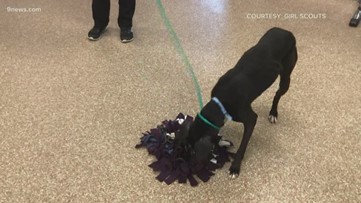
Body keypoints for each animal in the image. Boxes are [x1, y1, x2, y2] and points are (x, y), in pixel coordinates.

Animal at [184, 27, 296, 179]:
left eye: (194, 151)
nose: (189, 168)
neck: (220, 103)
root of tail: (287, 32)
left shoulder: (250, 119)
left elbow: (242, 146)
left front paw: (235, 167)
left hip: (286, 77)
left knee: (278, 94)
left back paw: (273, 113)